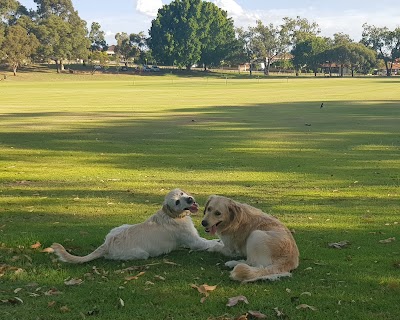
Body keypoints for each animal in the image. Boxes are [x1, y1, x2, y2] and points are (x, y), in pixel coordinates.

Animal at [50, 189, 219, 264]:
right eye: (177, 202)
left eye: (182, 194)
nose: (190, 199)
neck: (173, 216)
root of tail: (107, 244)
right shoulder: (195, 242)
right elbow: (209, 242)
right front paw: (217, 243)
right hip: (141, 253)